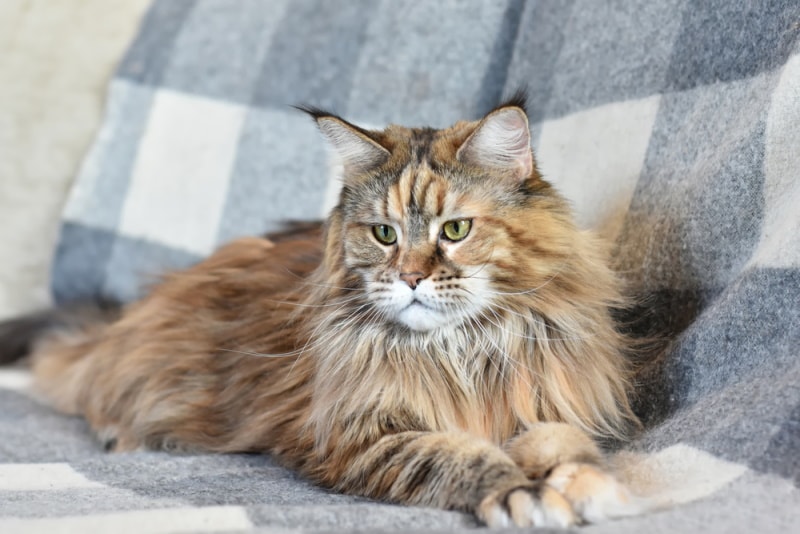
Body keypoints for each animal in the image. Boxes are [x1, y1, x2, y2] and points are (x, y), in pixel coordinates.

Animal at [0, 96, 648, 528]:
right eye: (384, 234)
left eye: (456, 230)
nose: (410, 277)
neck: (460, 352)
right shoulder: (358, 435)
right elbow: (456, 457)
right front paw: (523, 493)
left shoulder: (546, 400)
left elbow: (564, 443)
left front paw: (591, 485)